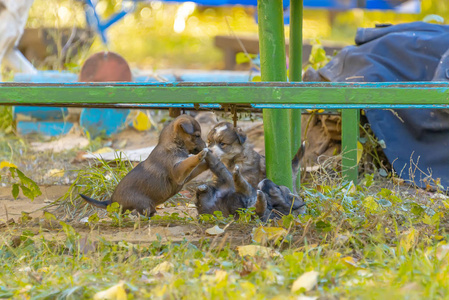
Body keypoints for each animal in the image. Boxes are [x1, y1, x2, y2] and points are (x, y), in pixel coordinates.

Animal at [79, 114, 208, 216]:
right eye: (197, 135)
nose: (206, 145)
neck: (174, 144)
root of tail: (111, 201)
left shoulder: (185, 176)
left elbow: (196, 166)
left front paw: (207, 160)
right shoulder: (178, 172)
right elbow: (189, 161)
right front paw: (201, 155)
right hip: (143, 203)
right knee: (139, 213)